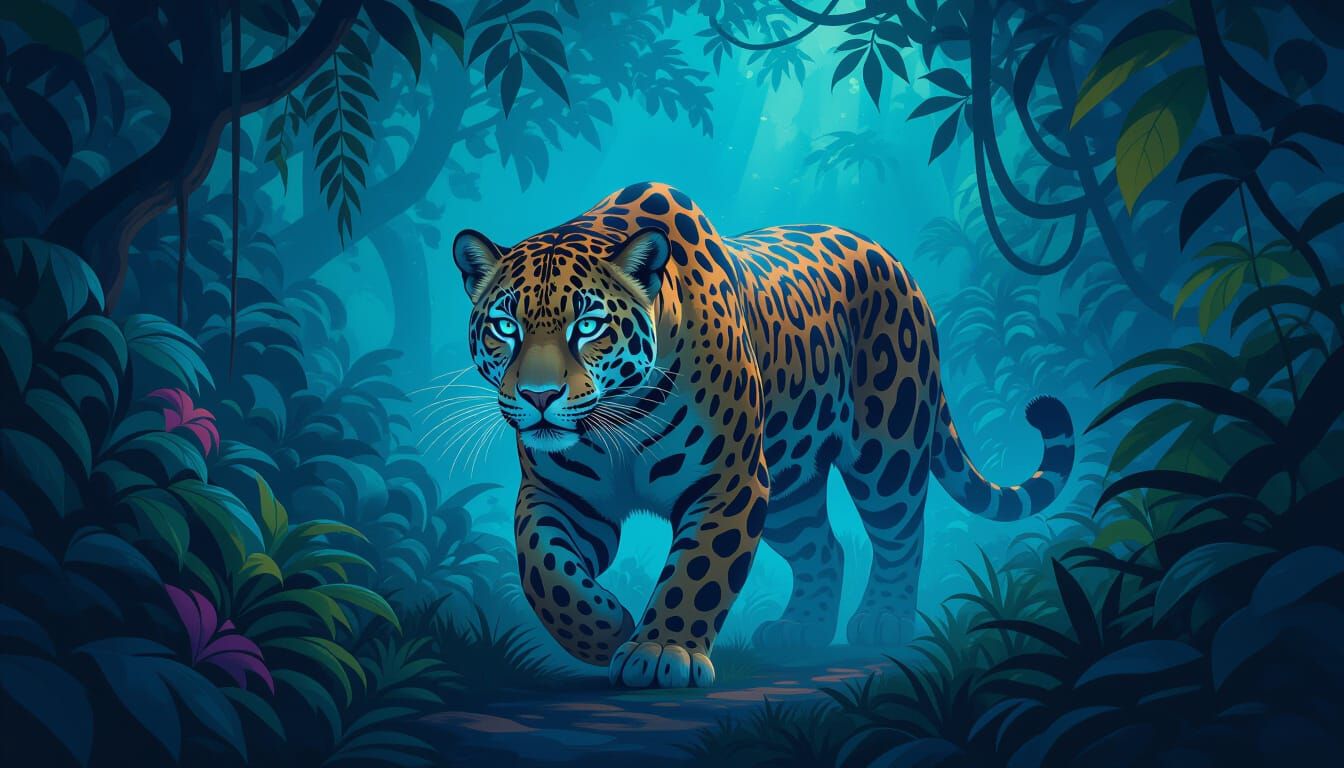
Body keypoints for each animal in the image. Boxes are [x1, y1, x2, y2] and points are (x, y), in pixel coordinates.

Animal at [450, 182, 1075, 688]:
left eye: (588, 326)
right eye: (506, 326)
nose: (539, 397)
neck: (617, 421)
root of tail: (895, 260)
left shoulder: (730, 481)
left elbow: (698, 570)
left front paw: (662, 651)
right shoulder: (561, 496)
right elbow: (545, 571)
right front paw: (604, 628)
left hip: (887, 446)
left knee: (901, 532)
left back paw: (886, 620)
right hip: (792, 483)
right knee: (825, 548)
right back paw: (802, 628)